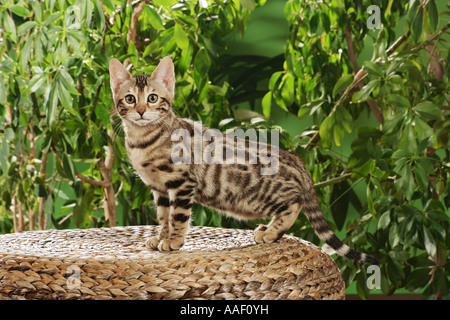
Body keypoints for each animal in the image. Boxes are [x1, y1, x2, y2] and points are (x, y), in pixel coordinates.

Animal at [110, 57, 380, 264]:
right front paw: (161, 237)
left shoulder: (182, 183)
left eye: (153, 98)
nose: (141, 111)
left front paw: (173, 241)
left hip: (258, 198)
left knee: (295, 204)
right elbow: (163, 217)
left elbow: (178, 216)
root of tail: (297, 161)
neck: (143, 140)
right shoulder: (159, 188)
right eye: (130, 99)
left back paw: (271, 232)